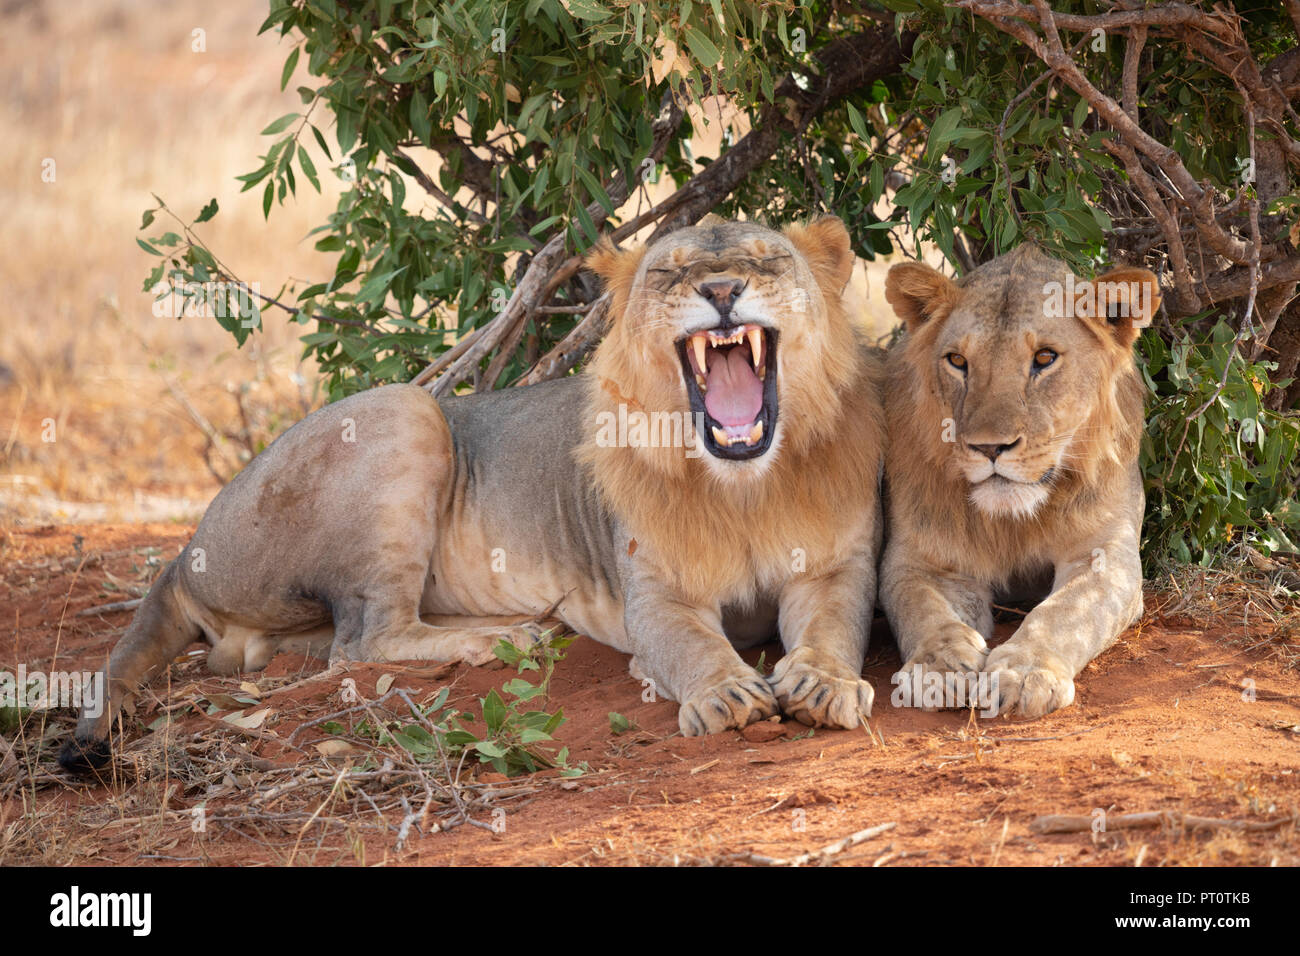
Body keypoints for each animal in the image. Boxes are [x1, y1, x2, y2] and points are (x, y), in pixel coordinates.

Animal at [60, 215, 884, 771]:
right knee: (365, 639)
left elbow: (832, 627)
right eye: (668, 275)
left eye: (767, 259)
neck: (742, 484)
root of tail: (184, 554)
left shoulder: (835, 568)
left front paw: (821, 684)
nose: (721, 289)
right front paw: (725, 695)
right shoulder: (655, 594)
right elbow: (691, 644)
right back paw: (509, 638)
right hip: (407, 413)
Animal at [879, 245, 1158, 718]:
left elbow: (1065, 611)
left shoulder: (1106, 555)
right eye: (958, 361)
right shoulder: (922, 561)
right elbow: (922, 606)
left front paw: (1025, 671)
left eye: (1044, 358)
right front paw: (938, 666)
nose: (990, 447)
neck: (1014, 520)